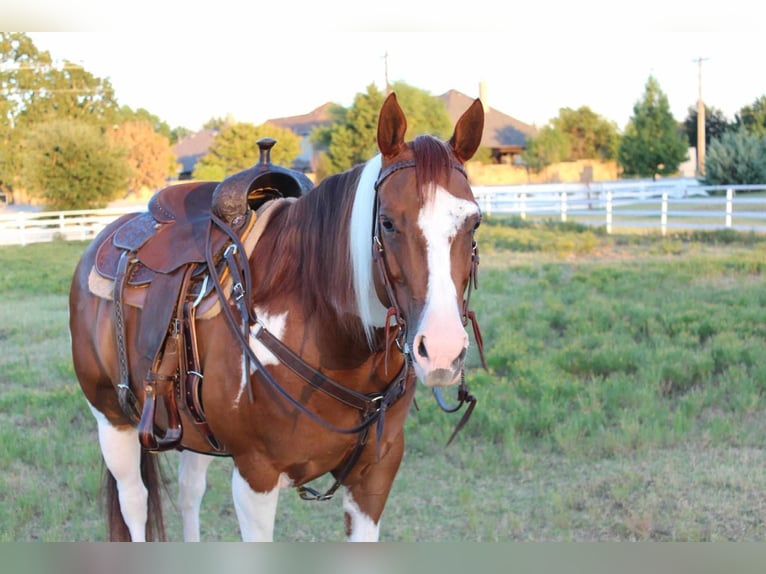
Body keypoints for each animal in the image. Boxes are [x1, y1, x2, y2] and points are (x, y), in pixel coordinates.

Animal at [67, 92, 486, 544]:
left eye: (474, 222)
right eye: (388, 222)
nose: (442, 351)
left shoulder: (376, 475)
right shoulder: (255, 476)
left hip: (191, 427)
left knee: (189, 491)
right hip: (111, 419)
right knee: (134, 502)